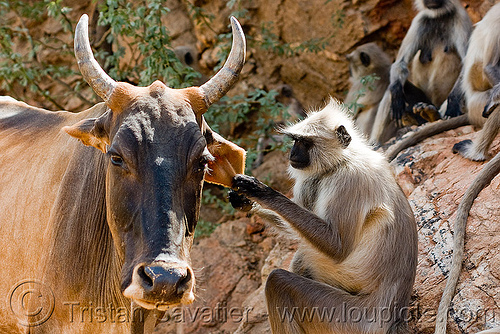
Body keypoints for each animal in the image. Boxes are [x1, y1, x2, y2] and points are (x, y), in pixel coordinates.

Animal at [230, 99, 418, 334]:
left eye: (305, 143)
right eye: (295, 141)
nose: (292, 154)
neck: (342, 160)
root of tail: (394, 318)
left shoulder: (348, 180)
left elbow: (337, 247)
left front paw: (260, 191)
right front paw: (244, 202)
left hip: (348, 318)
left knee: (279, 280)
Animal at [372, 0, 472, 144]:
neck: (439, 16)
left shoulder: (460, 18)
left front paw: (453, 103)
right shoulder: (420, 20)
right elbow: (400, 63)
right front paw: (396, 95)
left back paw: (434, 115)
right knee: (394, 88)